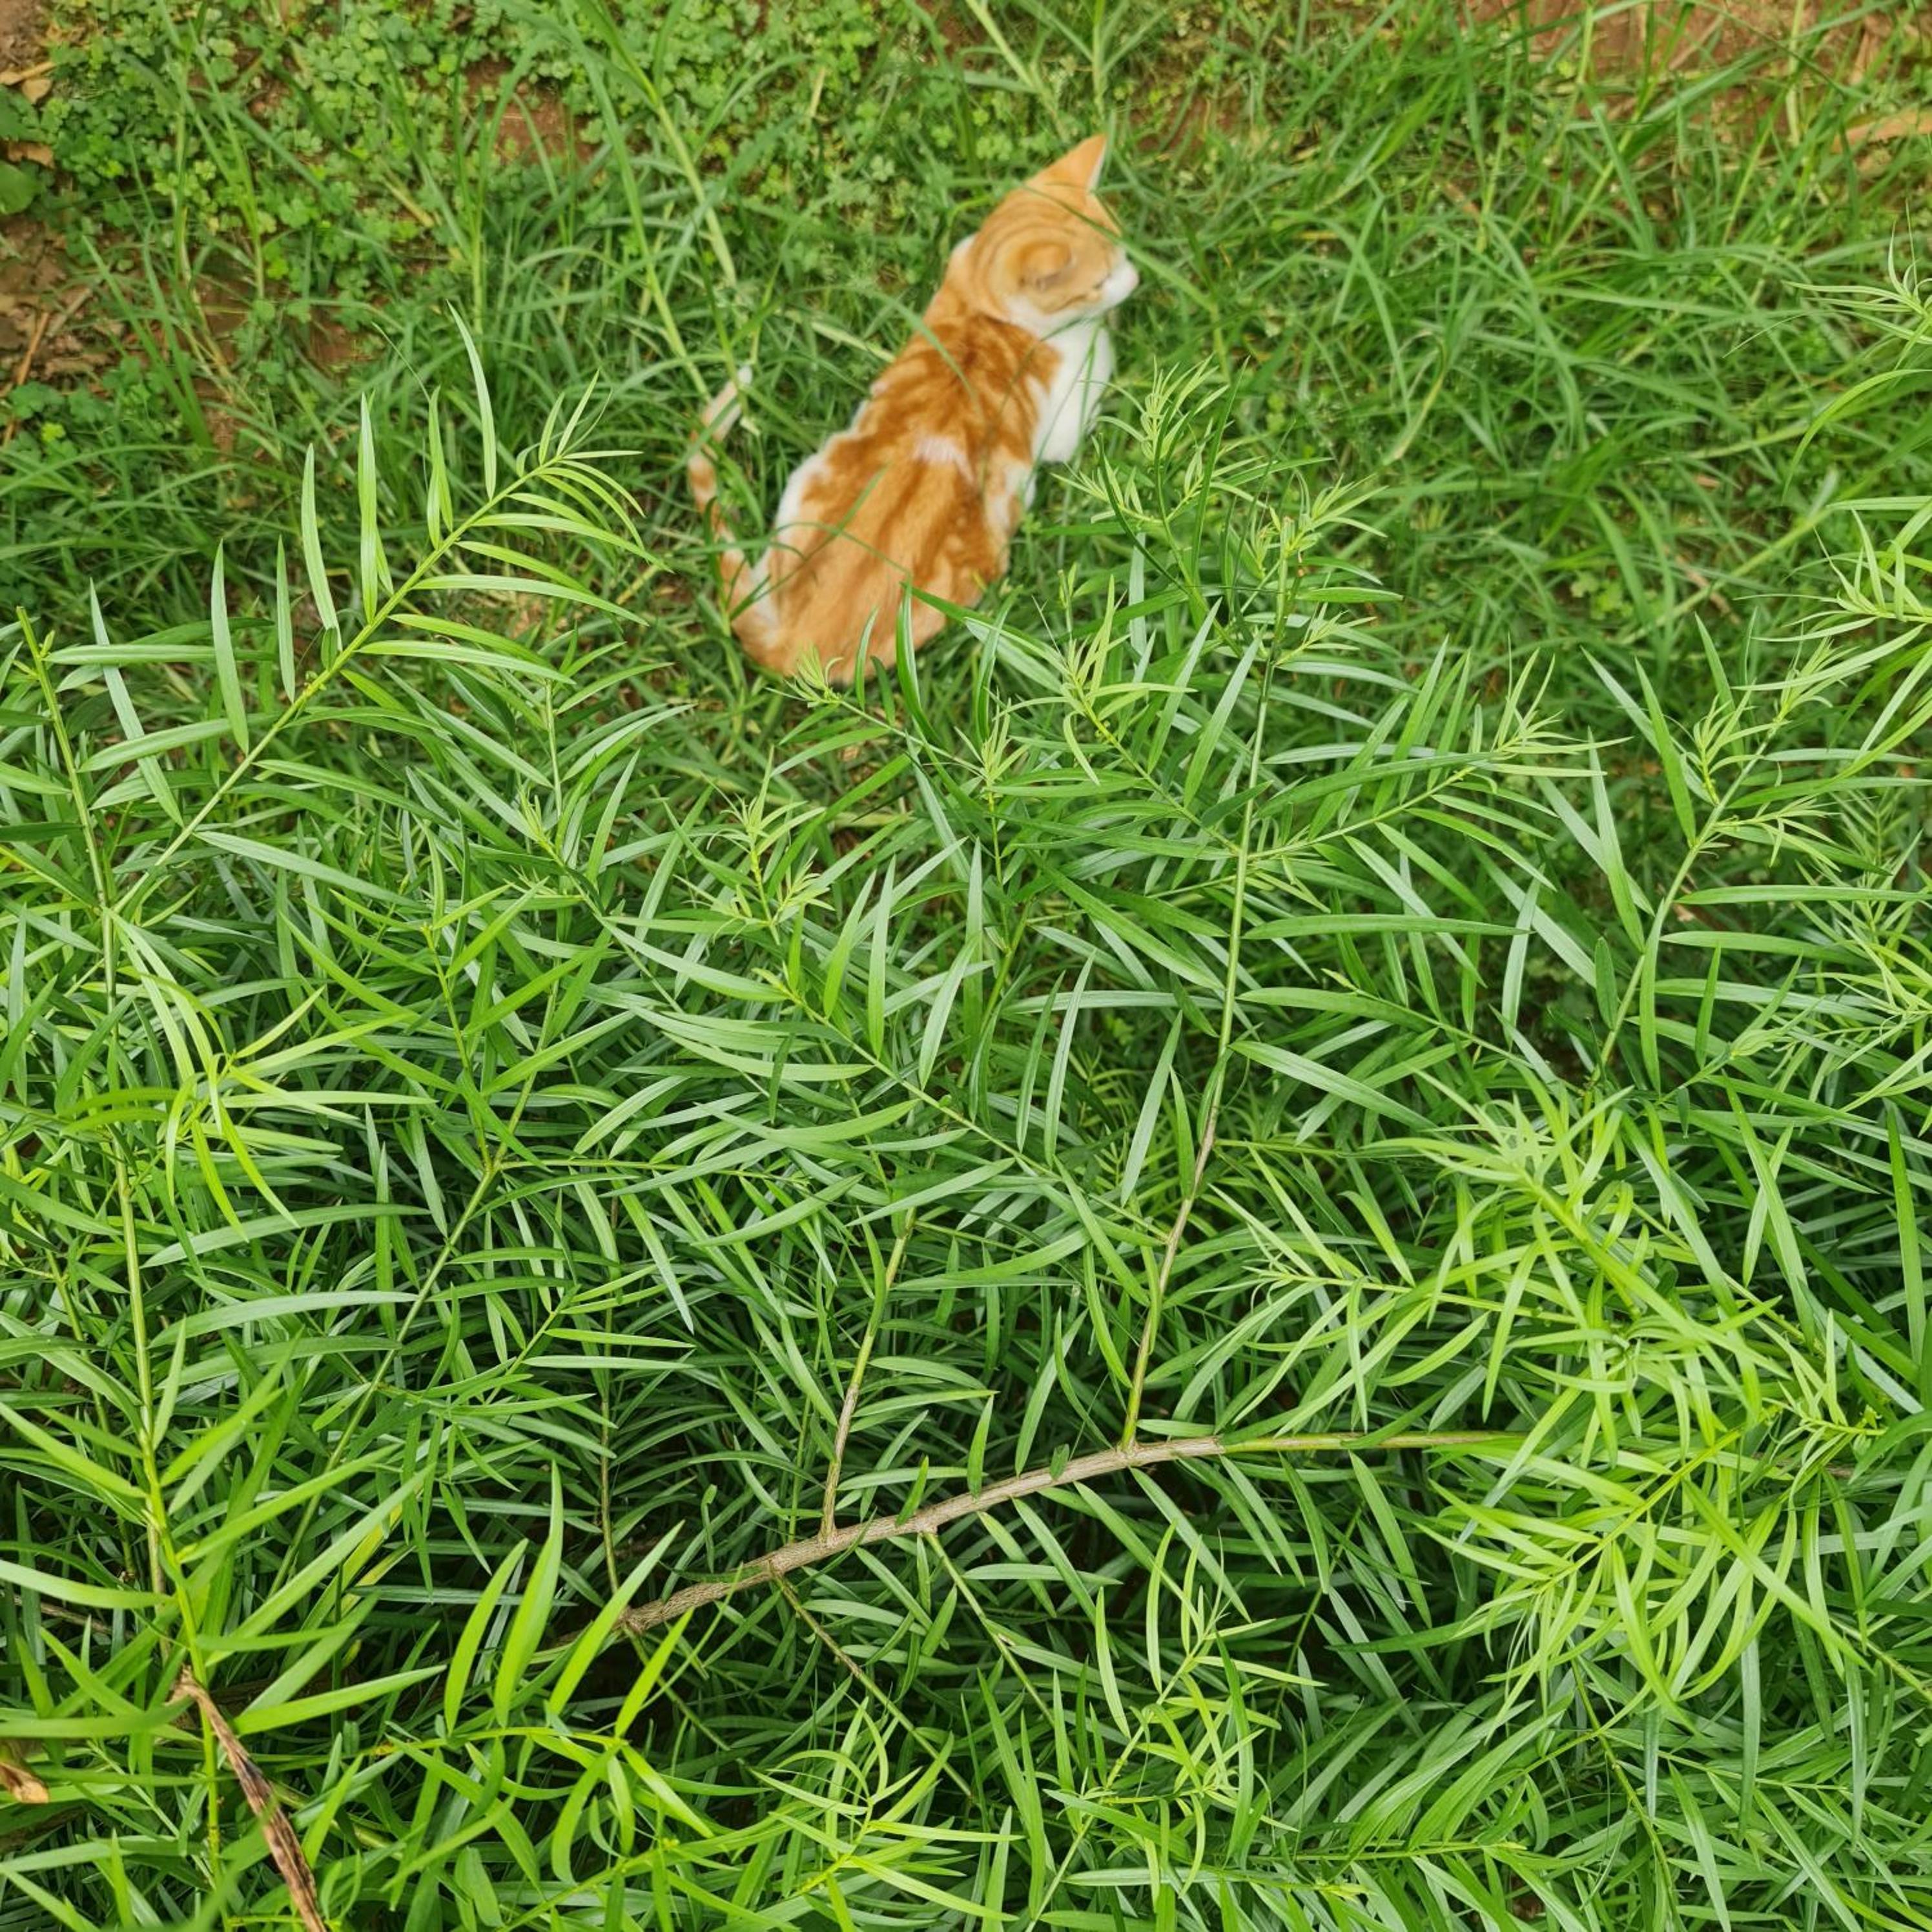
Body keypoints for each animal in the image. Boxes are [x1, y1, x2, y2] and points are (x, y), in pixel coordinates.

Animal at [687, 133, 1136, 684]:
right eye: (1099, 281)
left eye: (1123, 249)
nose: (1136, 279)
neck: (986, 304)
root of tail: (796, 643)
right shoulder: (1065, 418)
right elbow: (1096, 372)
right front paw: (1110, 334)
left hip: (808, 482)